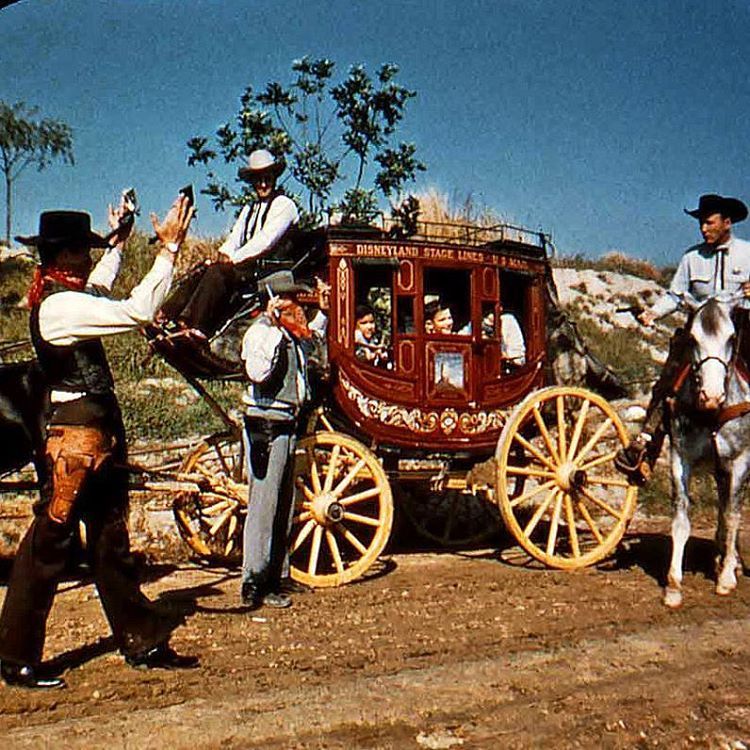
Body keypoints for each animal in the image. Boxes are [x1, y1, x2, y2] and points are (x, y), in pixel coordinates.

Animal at [664, 294, 750, 607]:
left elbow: (734, 515)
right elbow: (681, 520)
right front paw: (674, 586)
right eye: (692, 338)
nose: (711, 396)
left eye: (732, 337)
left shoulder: (741, 461)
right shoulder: (680, 457)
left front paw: (726, 578)